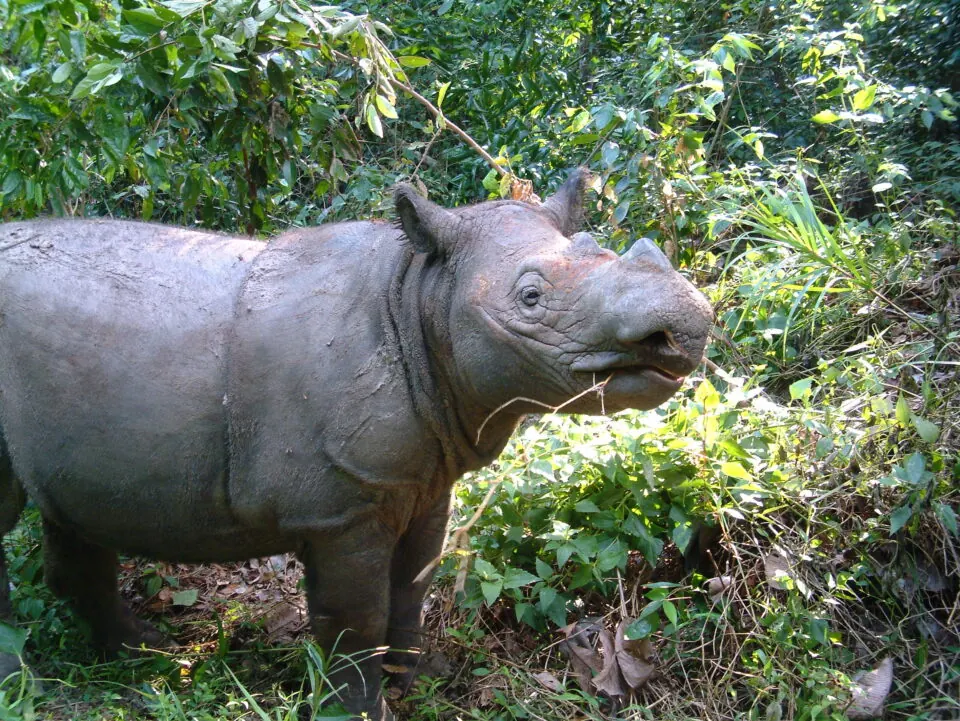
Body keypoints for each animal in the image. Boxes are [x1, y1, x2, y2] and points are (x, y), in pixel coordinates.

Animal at [0, 171, 711, 719]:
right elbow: (355, 616)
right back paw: (27, 679)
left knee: (72, 511)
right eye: (530, 297)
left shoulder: (424, 478)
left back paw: (142, 651)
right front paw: (361, 709)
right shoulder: (340, 507)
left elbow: (411, 587)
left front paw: (417, 681)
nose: (684, 326)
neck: (422, 290)